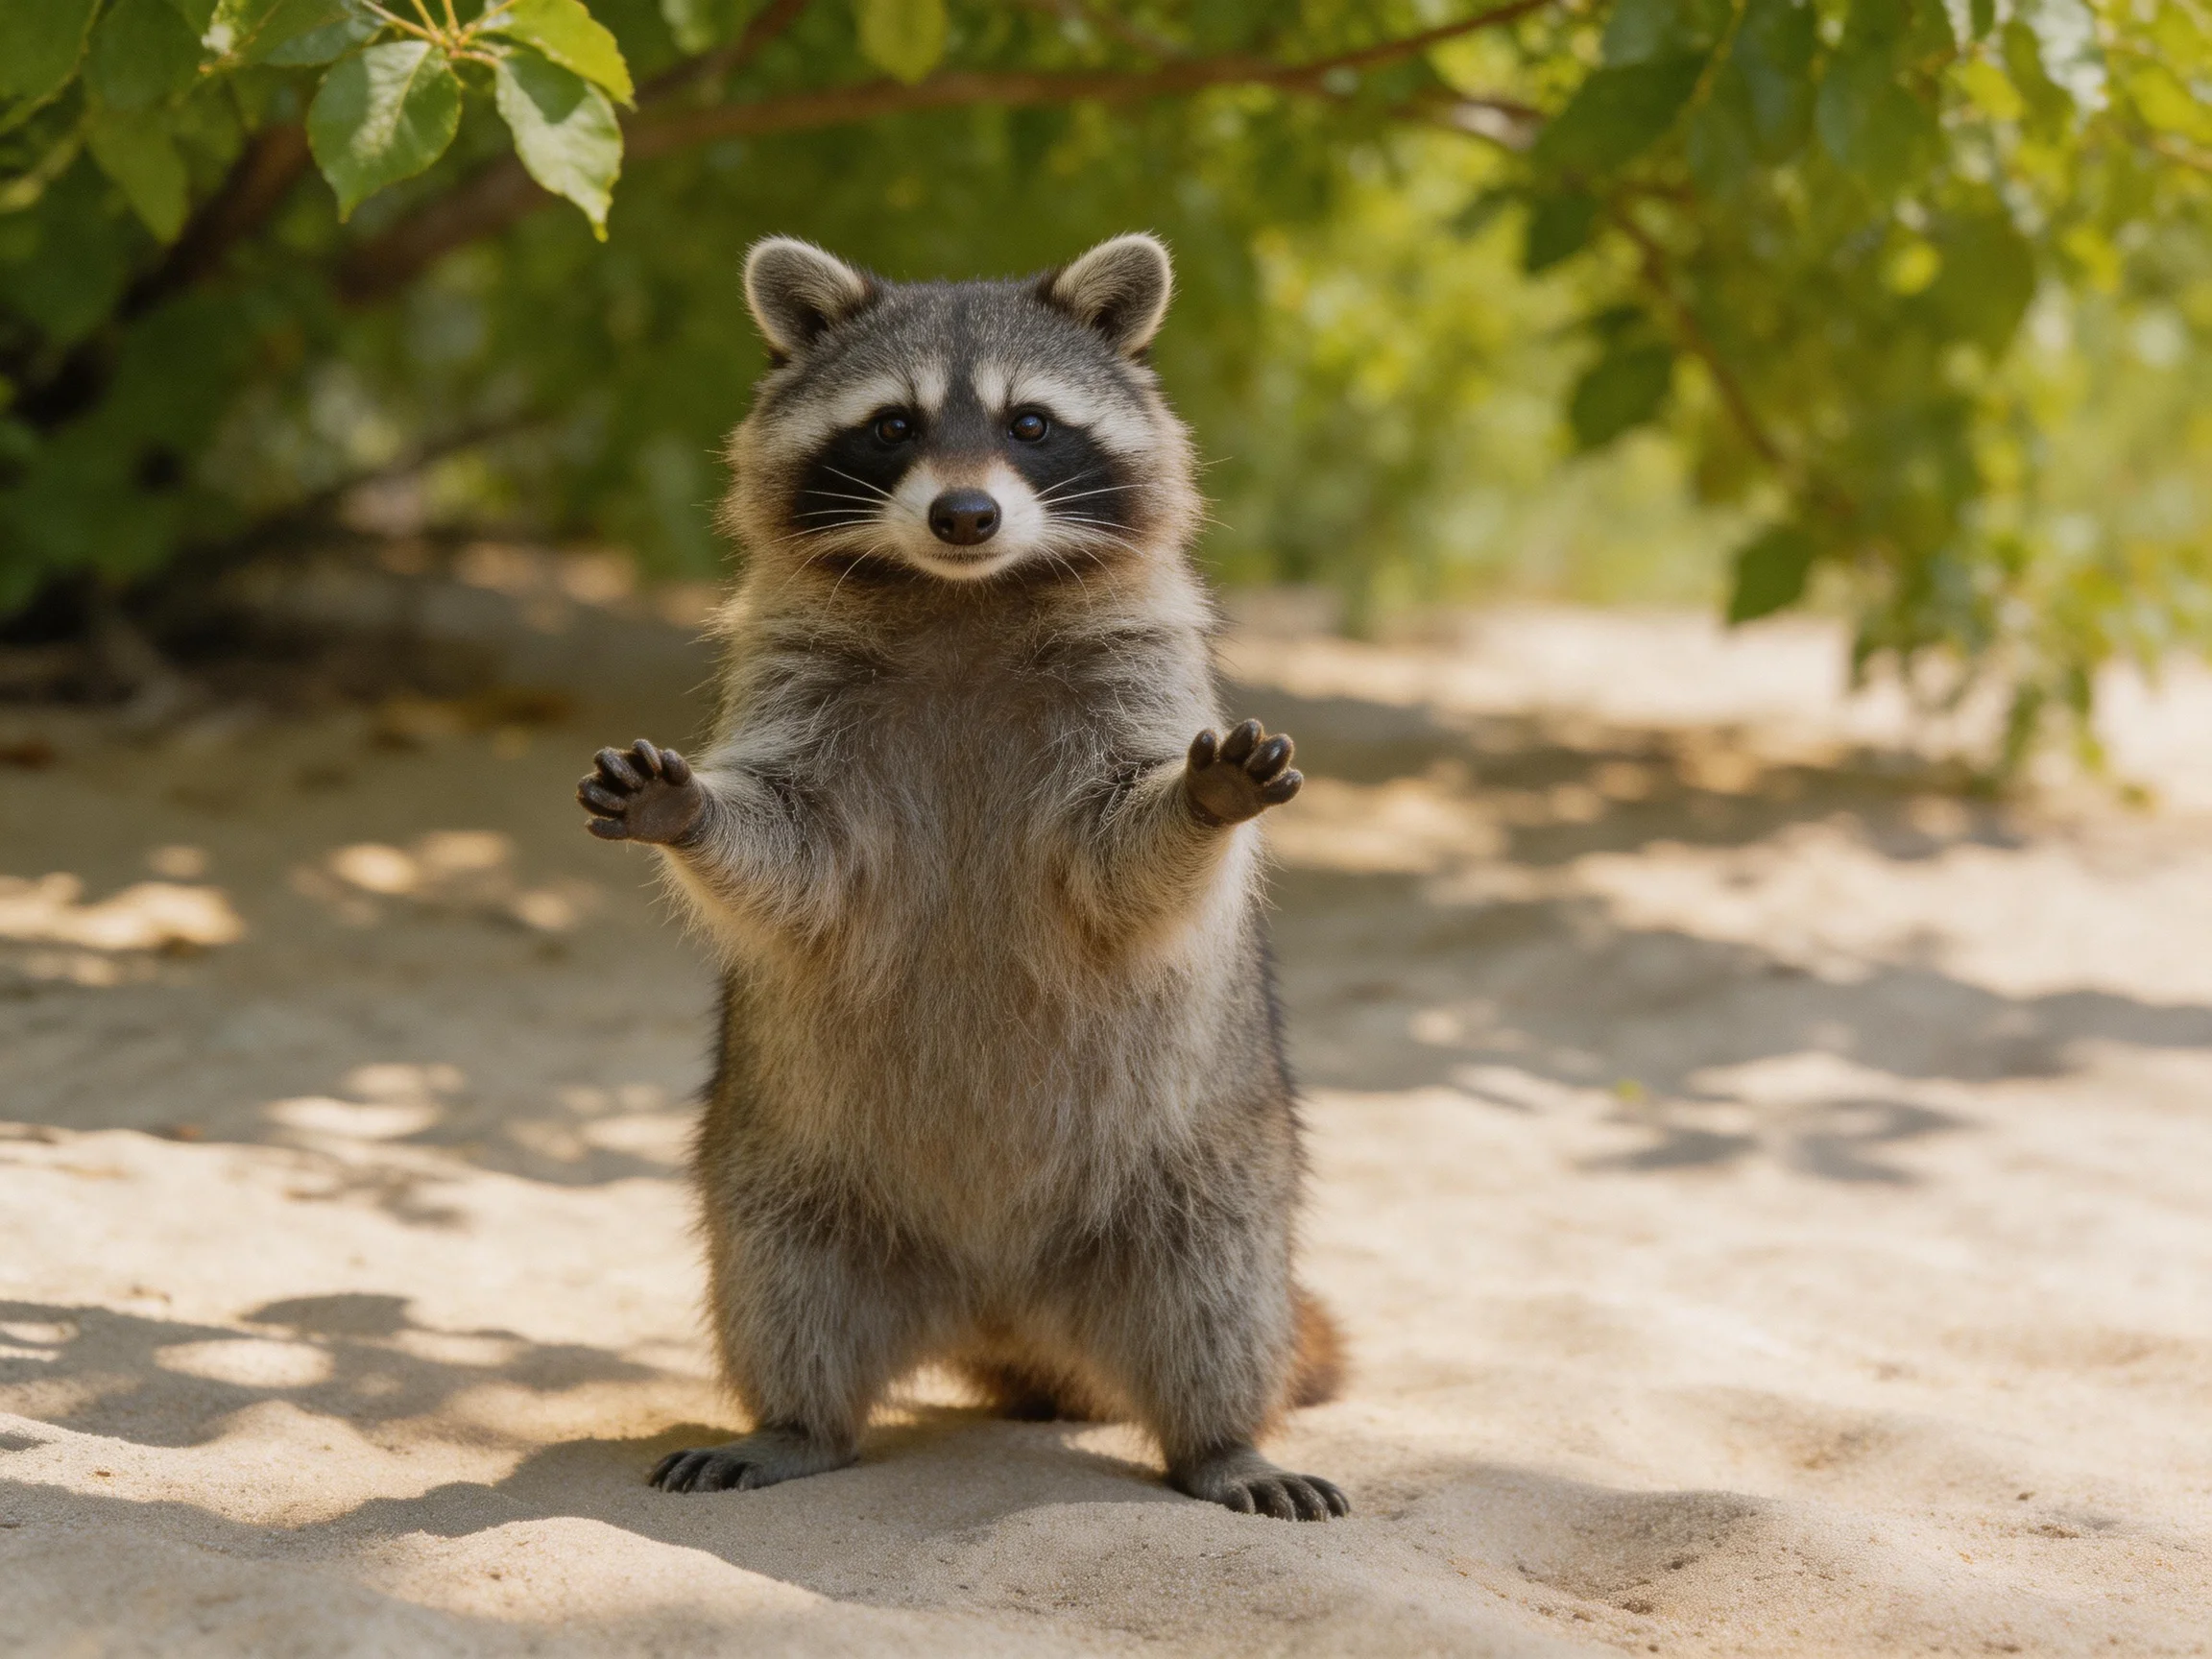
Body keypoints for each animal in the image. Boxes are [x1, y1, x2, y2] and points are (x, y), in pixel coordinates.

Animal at [576, 233, 1348, 1521]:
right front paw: (695, 814)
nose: (965, 514)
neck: (964, 598)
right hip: (779, 1169)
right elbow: (794, 857)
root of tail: (999, 1300)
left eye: (1031, 424)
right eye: (892, 426)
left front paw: (1195, 804)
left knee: (1215, 1301)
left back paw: (1221, 1440)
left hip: (1211, 1166)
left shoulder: (1135, 676)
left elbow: (1118, 859)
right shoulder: (801, 688)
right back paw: (794, 1423)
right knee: (784, 1294)